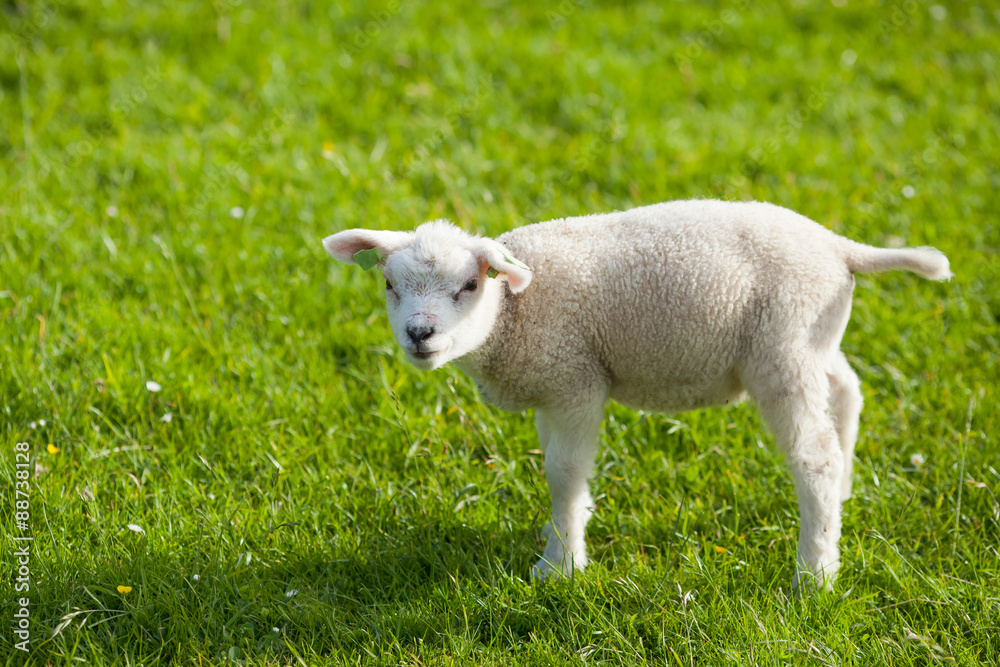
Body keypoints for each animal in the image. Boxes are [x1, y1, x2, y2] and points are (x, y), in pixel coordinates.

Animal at [322, 199, 951, 591]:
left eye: (470, 285)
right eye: (389, 285)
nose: (419, 334)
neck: (512, 315)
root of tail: (839, 247)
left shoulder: (575, 381)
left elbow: (564, 473)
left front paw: (560, 566)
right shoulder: (553, 385)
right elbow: (558, 471)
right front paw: (559, 537)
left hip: (783, 349)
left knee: (812, 456)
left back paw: (815, 573)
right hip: (813, 338)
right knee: (846, 392)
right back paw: (842, 495)